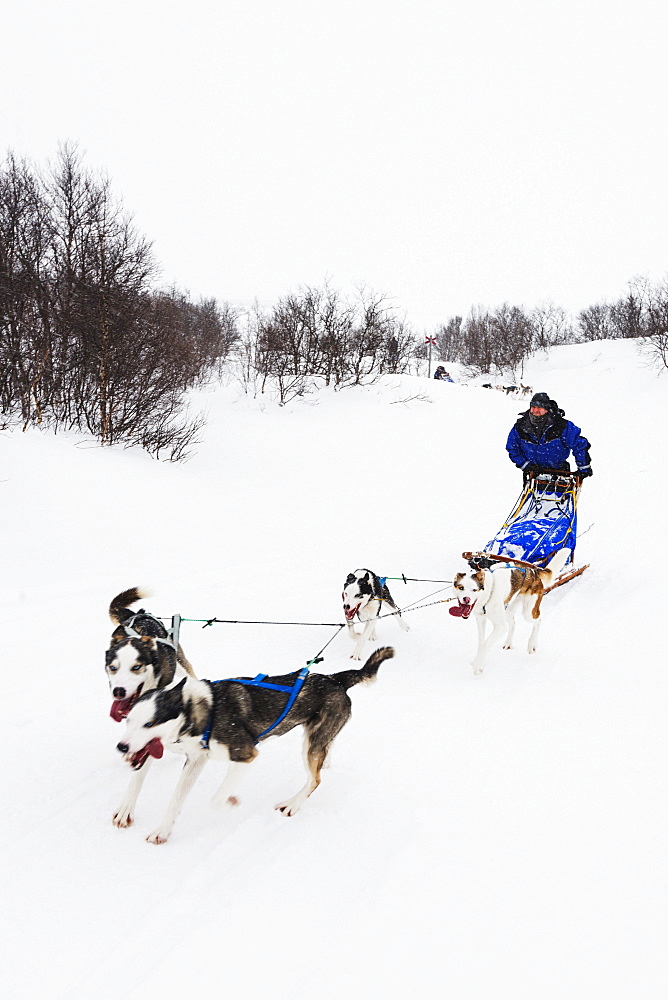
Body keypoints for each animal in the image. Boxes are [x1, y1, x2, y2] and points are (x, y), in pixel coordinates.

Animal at [115, 644, 396, 840]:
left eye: (149, 724)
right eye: (128, 720)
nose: (122, 747)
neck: (201, 710)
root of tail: (335, 678)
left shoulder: (246, 755)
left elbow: (216, 799)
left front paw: (230, 801)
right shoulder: (196, 760)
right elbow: (175, 801)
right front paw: (162, 831)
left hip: (310, 746)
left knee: (314, 780)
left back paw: (292, 804)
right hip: (316, 738)